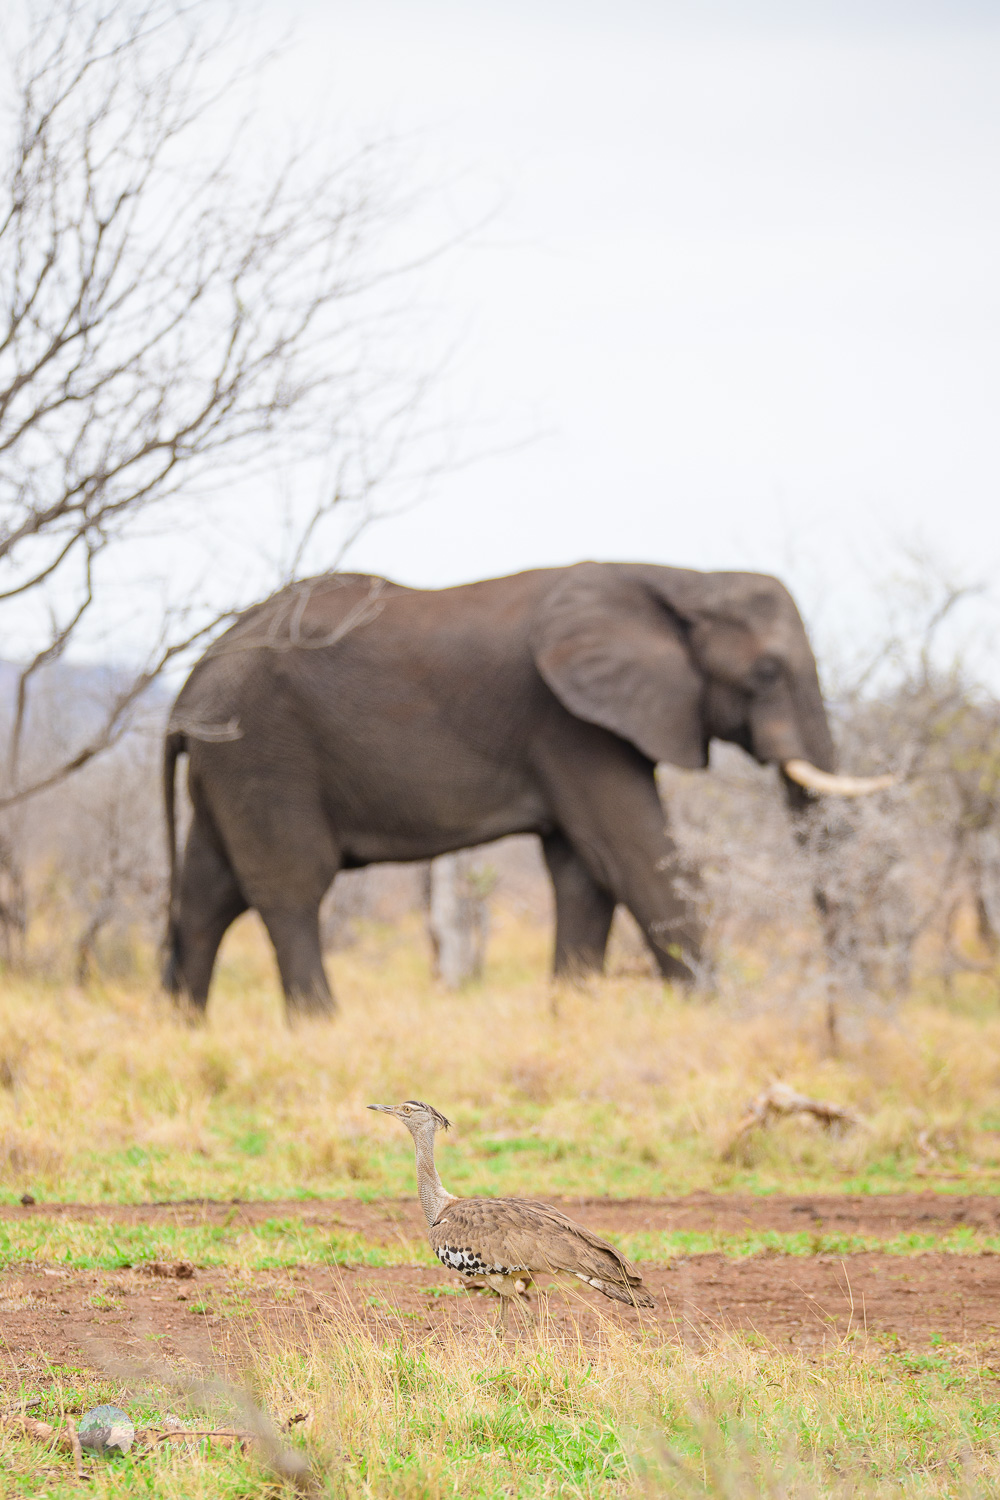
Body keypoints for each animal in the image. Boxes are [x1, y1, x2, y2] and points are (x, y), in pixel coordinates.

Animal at [164, 564, 893, 1020]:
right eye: (766, 672)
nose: (845, 1018)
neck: (682, 578)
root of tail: (192, 681)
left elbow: (584, 874)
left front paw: (571, 1013)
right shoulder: (571, 724)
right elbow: (635, 860)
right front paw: (718, 1015)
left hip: (227, 763)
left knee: (205, 895)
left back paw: (185, 1026)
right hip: (262, 749)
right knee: (289, 888)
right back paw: (320, 1025)